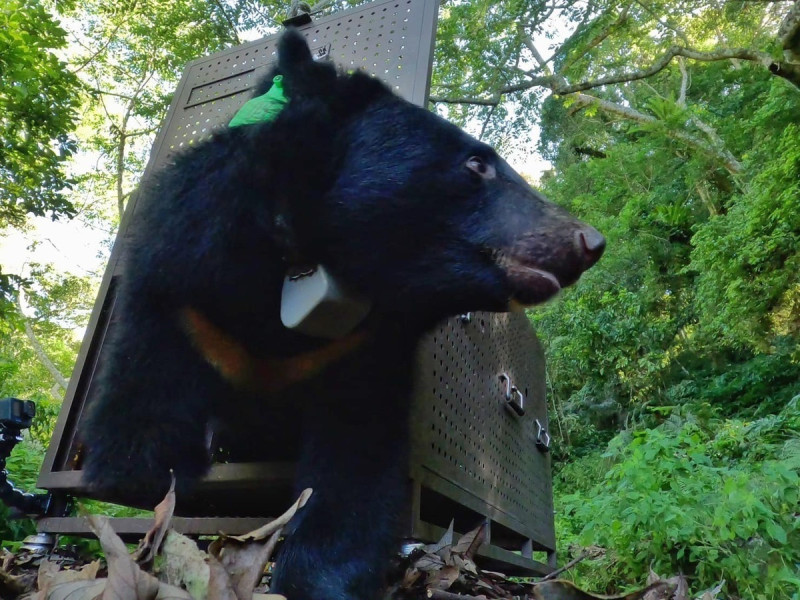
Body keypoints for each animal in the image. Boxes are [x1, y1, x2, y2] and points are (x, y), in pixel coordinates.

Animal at [83, 29, 608, 600]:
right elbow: (140, 425)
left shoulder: (363, 348)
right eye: (476, 164)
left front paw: (318, 574)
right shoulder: (185, 292)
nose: (589, 241)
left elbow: (356, 459)